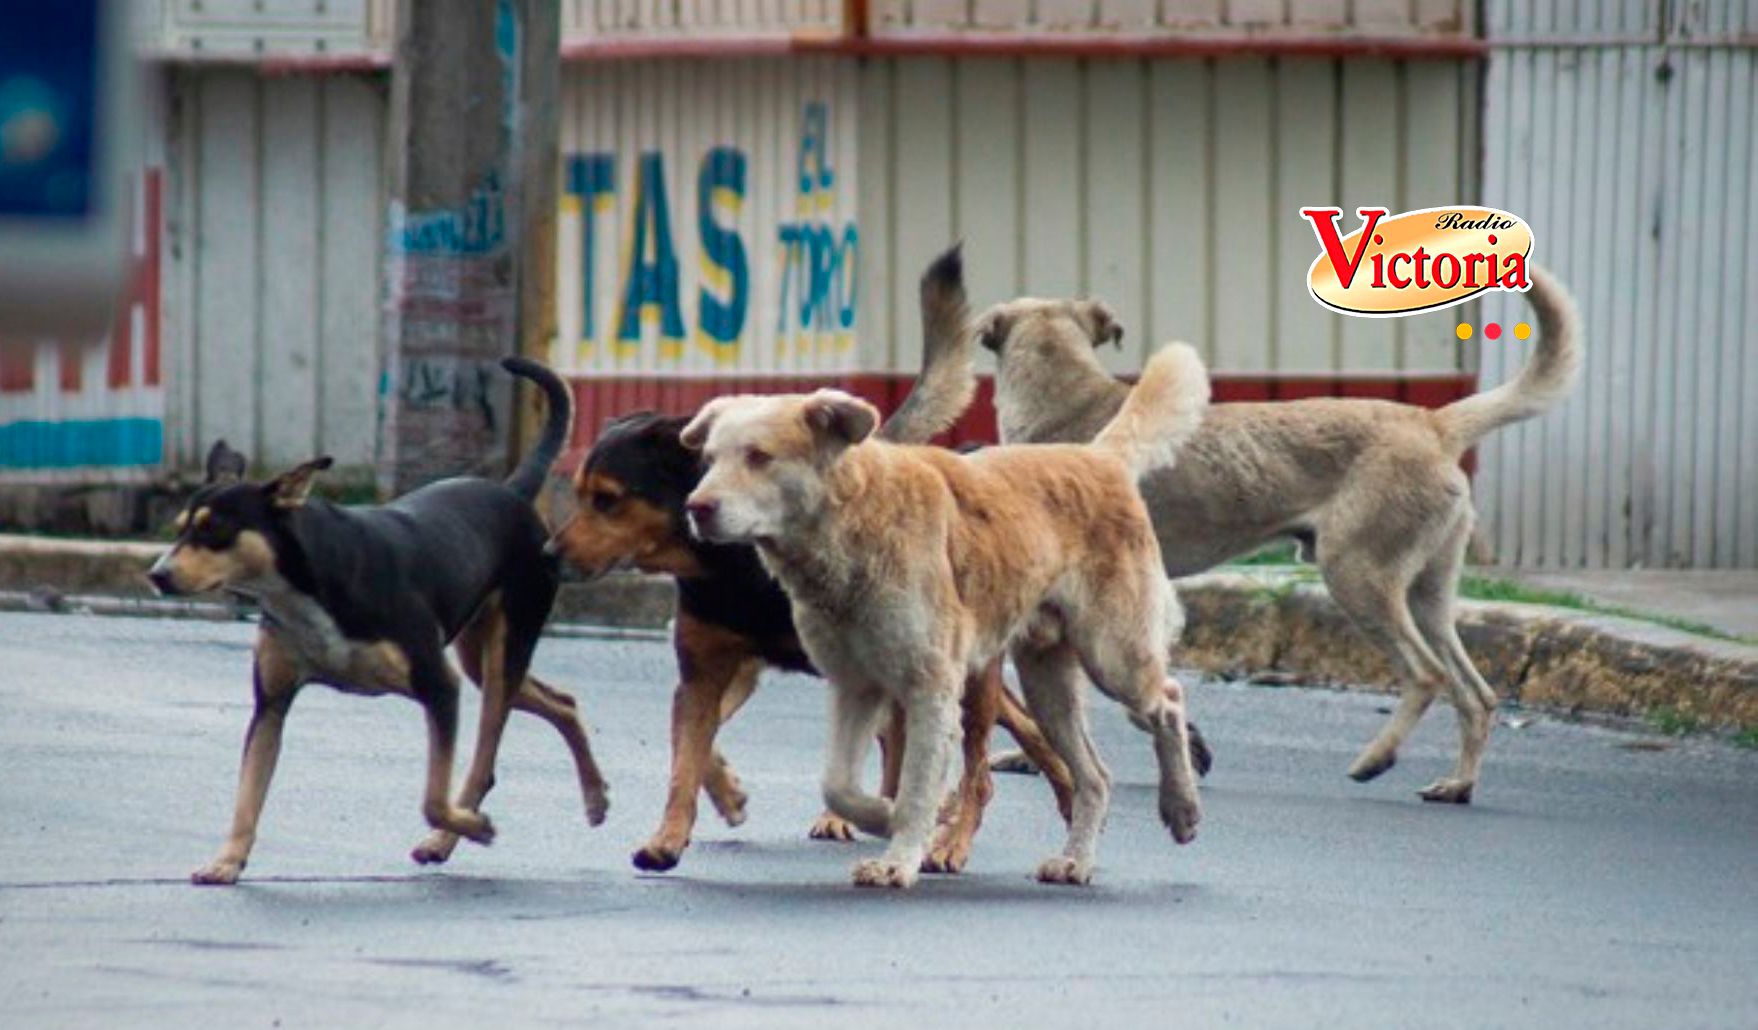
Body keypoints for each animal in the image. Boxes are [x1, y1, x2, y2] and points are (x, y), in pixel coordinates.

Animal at [148, 357, 608, 885]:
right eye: (180, 528)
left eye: (213, 530)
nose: (157, 575)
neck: (303, 585)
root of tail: (512, 491)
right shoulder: (271, 704)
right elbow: (248, 794)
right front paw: (227, 860)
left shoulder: (439, 685)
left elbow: (432, 798)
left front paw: (470, 826)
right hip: (480, 654)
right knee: (562, 703)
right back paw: (594, 797)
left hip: (506, 645)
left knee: (483, 761)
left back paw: (450, 835)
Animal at [547, 247, 1082, 875]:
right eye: (578, 492)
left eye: (608, 499)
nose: (548, 553)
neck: (730, 568)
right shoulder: (708, 666)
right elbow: (689, 752)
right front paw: (682, 826)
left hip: (967, 672)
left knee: (979, 750)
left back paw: (963, 830)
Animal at [680, 341, 1211, 888]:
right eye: (709, 459)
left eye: (759, 457)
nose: (695, 507)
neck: (854, 520)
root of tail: (1096, 456)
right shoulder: (855, 685)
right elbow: (838, 784)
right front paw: (884, 818)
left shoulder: (929, 686)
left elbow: (915, 784)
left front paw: (898, 859)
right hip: (1047, 684)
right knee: (1095, 777)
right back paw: (1077, 860)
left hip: (1114, 656)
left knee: (1169, 702)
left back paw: (1181, 809)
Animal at [961, 266, 1581, 804]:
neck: (1067, 394)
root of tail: (1433, 423)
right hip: (1428, 593)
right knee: (1476, 694)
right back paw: (1457, 784)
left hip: (1357, 575)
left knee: (1426, 674)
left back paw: (1375, 759)